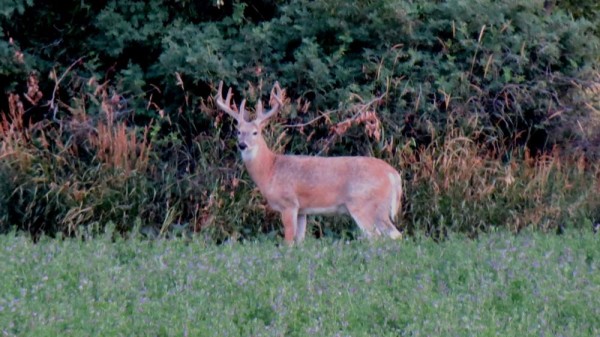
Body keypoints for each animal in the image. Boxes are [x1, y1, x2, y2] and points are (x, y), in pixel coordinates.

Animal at [216, 81, 404, 244]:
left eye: (255, 132)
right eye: (238, 131)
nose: (242, 145)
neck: (270, 170)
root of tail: (393, 174)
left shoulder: (289, 204)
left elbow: (288, 242)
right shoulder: (302, 211)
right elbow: (300, 242)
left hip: (363, 204)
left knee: (377, 237)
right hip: (378, 208)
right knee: (394, 234)